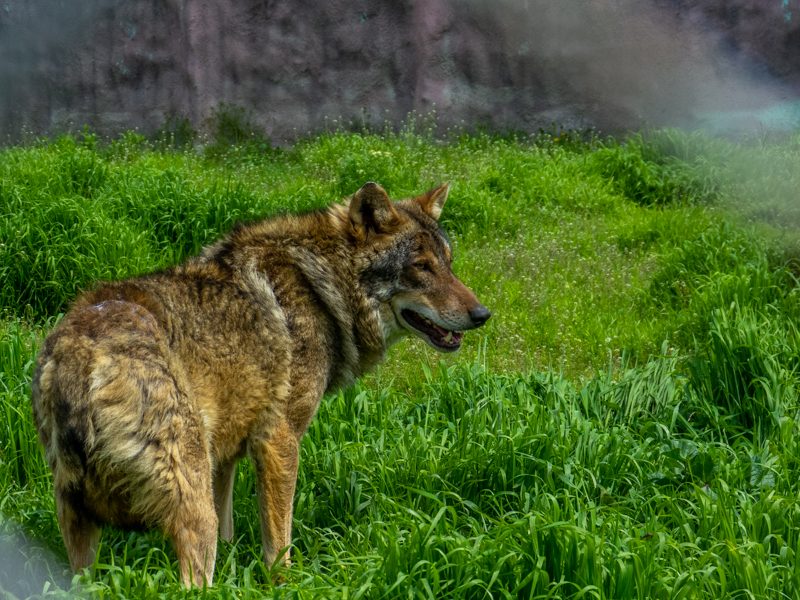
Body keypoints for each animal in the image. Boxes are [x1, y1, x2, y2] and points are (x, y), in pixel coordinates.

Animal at [30, 182, 490, 587]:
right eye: (421, 267)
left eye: (449, 263)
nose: (482, 314)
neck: (323, 287)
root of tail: (79, 352)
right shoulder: (278, 440)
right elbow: (279, 545)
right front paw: (284, 585)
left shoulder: (225, 454)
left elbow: (233, 531)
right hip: (192, 511)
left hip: (79, 530)